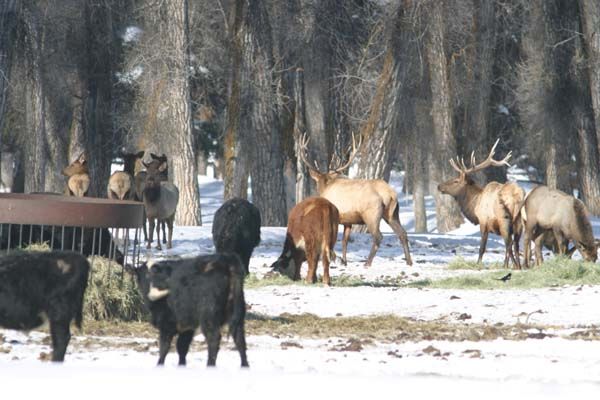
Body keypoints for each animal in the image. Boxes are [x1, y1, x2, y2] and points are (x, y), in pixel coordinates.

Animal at [298, 133, 412, 268]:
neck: (326, 186)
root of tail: (390, 194)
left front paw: (334, 258)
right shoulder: (348, 221)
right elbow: (344, 241)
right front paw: (344, 261)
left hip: (371, 214)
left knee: (378, 236)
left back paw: (367, 263)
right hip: (392, 214)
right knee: (402, 233)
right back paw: (409, 262)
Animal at [436, 140, 524, 268]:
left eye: (456, 181)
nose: (439, 186)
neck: (475, 203)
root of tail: (517, 195)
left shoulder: (483, 221)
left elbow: (482, 247)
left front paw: (478, 264)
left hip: (504, 219)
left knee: (509, 243)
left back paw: (513, 266)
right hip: (520, 222)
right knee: (515, 244)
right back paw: (518, 266)